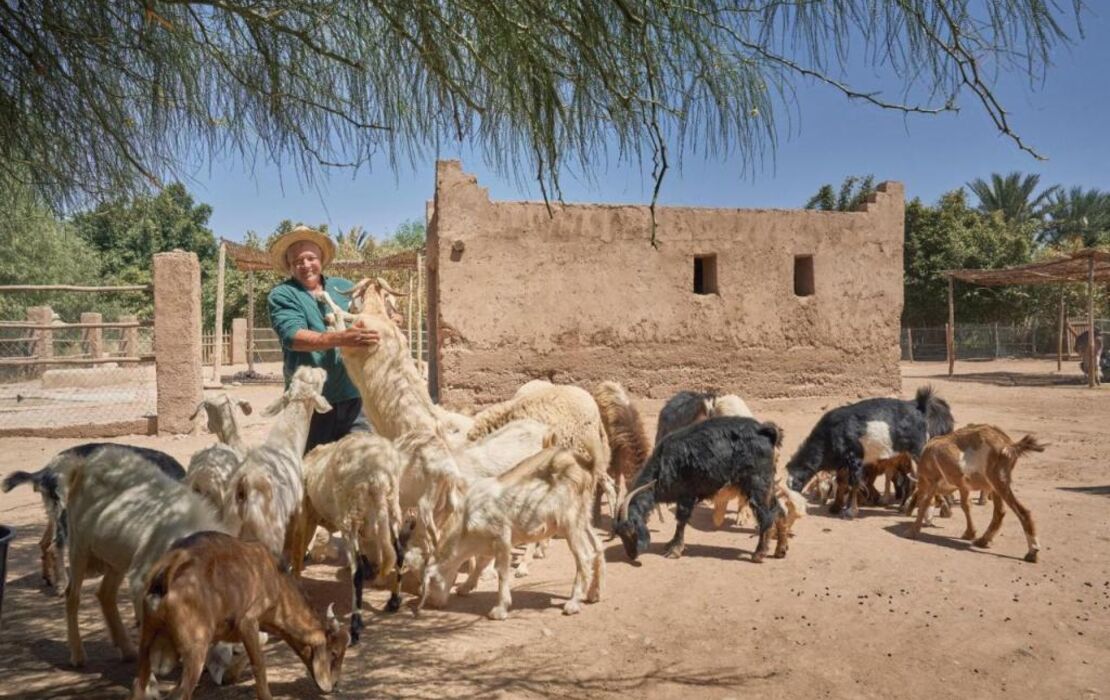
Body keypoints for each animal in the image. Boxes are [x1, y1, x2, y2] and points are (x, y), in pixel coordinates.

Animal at [130, 530, 346, 700]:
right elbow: (259, 662)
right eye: (334, 653)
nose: (335, 685)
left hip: (145, 646)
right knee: (181, 694)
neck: (276, 579)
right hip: (195, 652)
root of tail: (168, 569)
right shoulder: (248, 621)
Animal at [224, 366, 328, 559]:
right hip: (270, 533)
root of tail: (244, 485)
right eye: (317, 382)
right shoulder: (298, 508)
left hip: (228, 525)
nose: (320, 369)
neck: (286, 442)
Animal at [612, 417, 785, 563]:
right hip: (767, 485)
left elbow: (681, 521)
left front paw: (674, 550)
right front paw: (670, 544)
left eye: (630, 532)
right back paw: (780, 550)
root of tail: (766, 431)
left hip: (757, 484)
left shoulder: (686, 495)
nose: (631, 555)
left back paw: (759, 554)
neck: (663, 464)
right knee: (779, 510)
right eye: (619, 534)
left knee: (766, 516)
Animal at [781, 386, 954, 516]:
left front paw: (850, 512)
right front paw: (836, 507)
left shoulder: (855, 457)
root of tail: (920, 405)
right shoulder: (843, 462)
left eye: (794, 484)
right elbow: (842, 482)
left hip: (917, 450)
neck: (829, 435)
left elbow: (855, 482)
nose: (790, 504)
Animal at [905, 421, 1043, 563]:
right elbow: (966, 505)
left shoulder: (933, 481)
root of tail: (1009, 444)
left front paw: (912, 531)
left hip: (998, 480)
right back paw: (983, 540)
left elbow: (925, 503)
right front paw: (970, 533)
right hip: (995, 484)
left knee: (1022, 512)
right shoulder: (963, 485)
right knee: (1000, 512)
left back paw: (1032, 551)